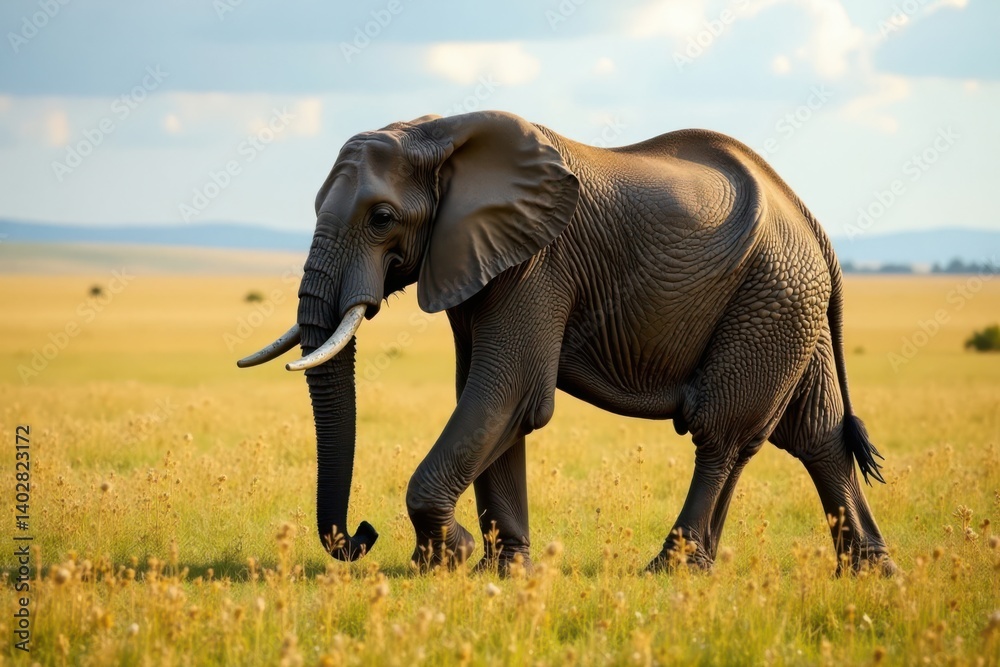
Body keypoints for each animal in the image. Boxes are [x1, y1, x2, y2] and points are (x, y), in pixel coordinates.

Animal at [238, 110, 896, 576]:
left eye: (381, 218)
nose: (363, 534)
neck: (440, 132)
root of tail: (813, 223)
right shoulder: (485, 260)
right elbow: (490, 399)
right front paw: (502, 571)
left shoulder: (537, 264)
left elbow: (506, 393)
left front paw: (445, 559)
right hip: (786, 304)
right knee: (812, 433)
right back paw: (865, 575)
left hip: (771, 298)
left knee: (721, 432)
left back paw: (669, 570)